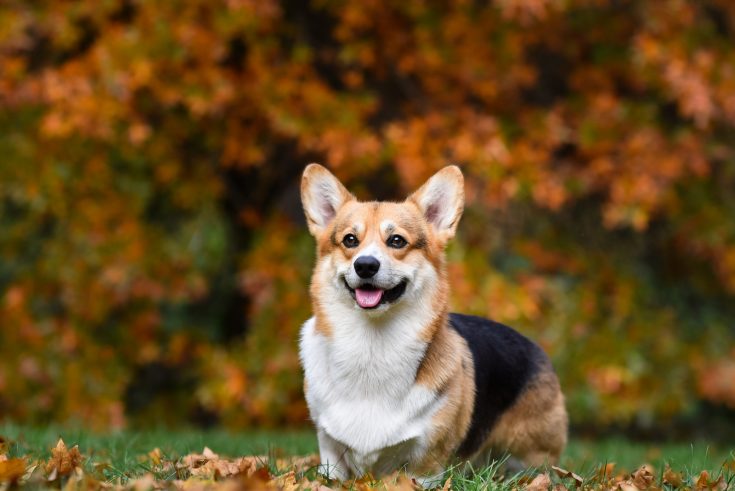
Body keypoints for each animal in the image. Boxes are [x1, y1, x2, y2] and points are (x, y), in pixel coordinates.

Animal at [300, 163, 568, 482]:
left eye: (397, 240)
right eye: (350, 240)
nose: (365, 265)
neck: (372, 345)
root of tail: (534, 346)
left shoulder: (426, 463)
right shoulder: (330, 451)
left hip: (528, 455)